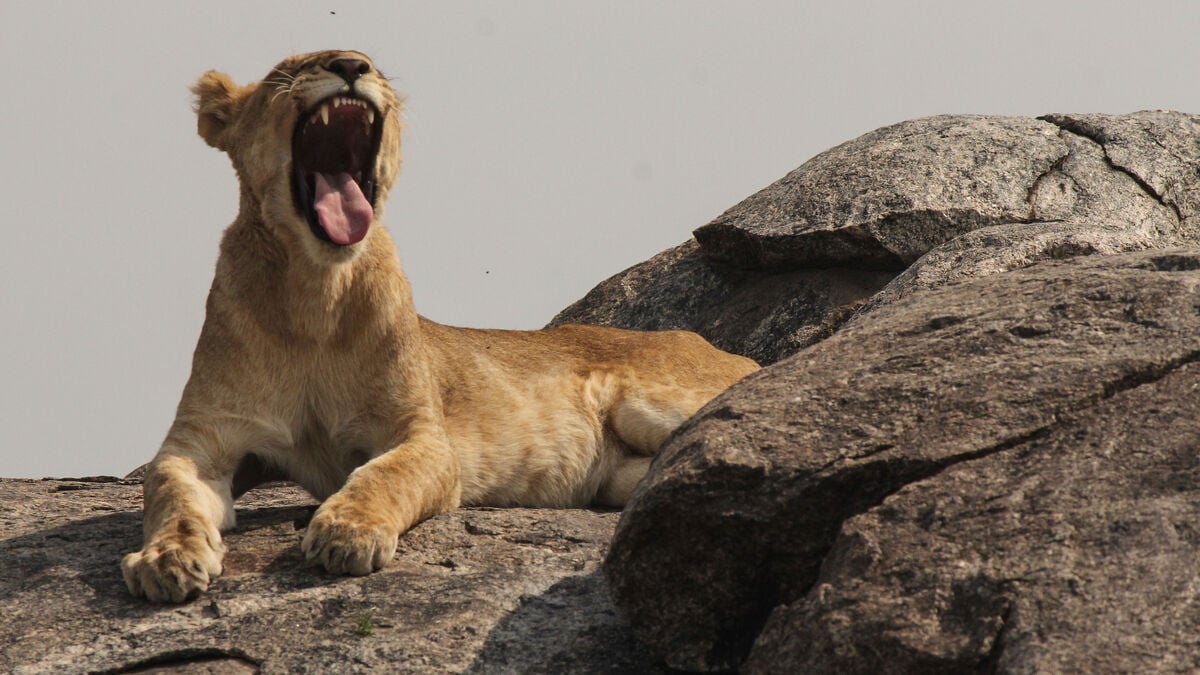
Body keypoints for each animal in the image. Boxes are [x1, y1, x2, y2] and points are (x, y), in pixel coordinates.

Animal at [121, 50, 760, 603]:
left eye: (373, 64)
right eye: (287, 69)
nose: (352, 66)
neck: (315, 293)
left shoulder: (423, 434)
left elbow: (384, 475)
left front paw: (347, 532)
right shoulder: (205, 438)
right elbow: (169, 490)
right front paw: (166, 559)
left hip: (651, 401)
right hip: (622, 476)